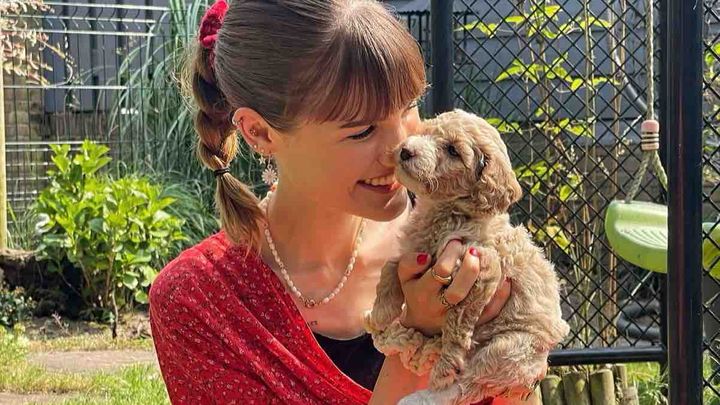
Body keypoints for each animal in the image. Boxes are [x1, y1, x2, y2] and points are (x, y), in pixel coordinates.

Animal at [366, 109, 569, 405]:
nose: (405, 150)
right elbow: (389, 267)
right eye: (425, 132)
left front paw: (445, 366)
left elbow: (456, 324)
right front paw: (379, 312)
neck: (446, 212)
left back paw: (422, 394)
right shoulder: (414, 251)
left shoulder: (482, 268)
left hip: (507, 348)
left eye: (452, 150)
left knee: (468, 384)